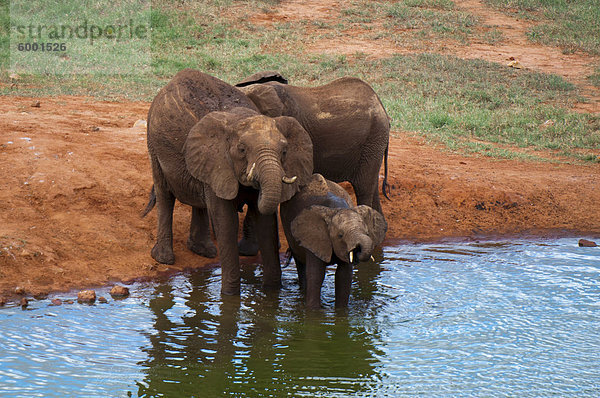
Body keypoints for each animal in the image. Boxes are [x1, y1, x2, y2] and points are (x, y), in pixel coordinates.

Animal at [144, 70, 314, 296]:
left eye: (285, 151)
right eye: (242, 149)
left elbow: (265, 222)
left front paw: (271, 293)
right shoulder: (218, 161)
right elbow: (226, 222)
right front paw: (230, 296)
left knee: (199, 200)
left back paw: (203, 251)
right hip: (153, 144)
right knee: (165, 195)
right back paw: (163, 258)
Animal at [278, 173, 386, 308]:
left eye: (367, 233)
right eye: (340, 235)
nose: (357, 249)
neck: (336, 209)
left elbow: (343, 276)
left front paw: (341, 311)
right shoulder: (315, 237)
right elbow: (316, 275)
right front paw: (313, 311)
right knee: (300, 263)